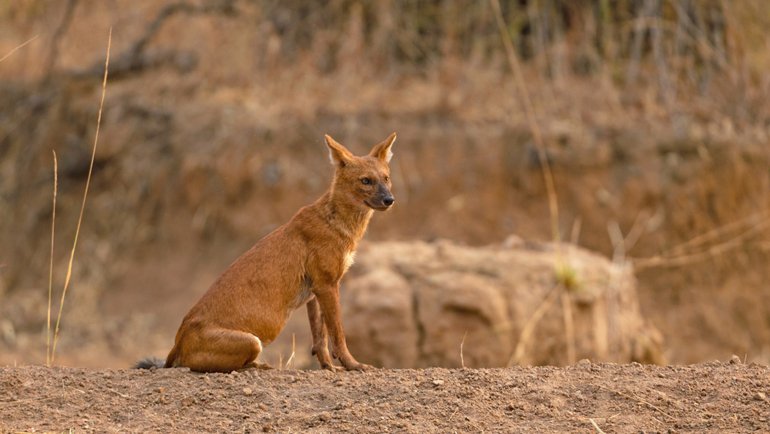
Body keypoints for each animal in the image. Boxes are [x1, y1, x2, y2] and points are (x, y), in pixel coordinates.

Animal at [136, 133, 396, 372]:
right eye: (366, 180)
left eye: (386, 178)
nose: (389, 199)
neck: (337, 221)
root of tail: (176, 344)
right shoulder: (327, 285)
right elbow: (338, 334)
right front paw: (354, 365)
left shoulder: (315, 291)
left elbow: (319, 338)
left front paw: (328, 367)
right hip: (252, 341)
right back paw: (259, 365)